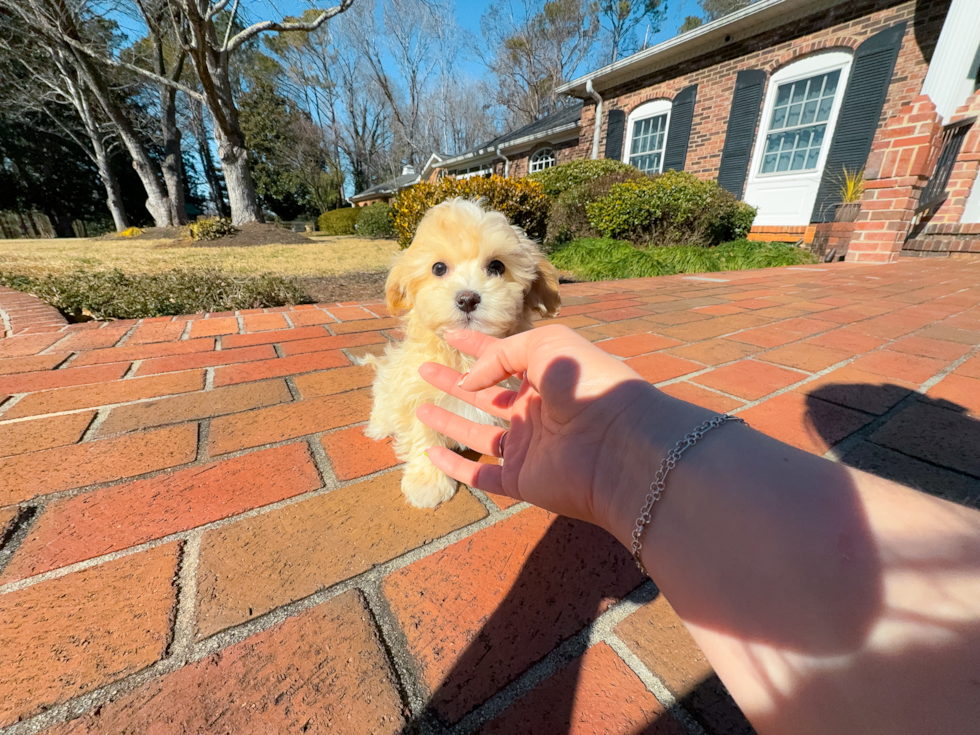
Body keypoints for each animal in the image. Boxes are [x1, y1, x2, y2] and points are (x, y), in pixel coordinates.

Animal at [360, 197, 560, 506]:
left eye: (497, 266)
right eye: (439, 268)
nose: (468, 298)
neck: (464, 357)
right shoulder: (418, 394)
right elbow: (423, 436)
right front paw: (427, 483)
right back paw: (379, 427)